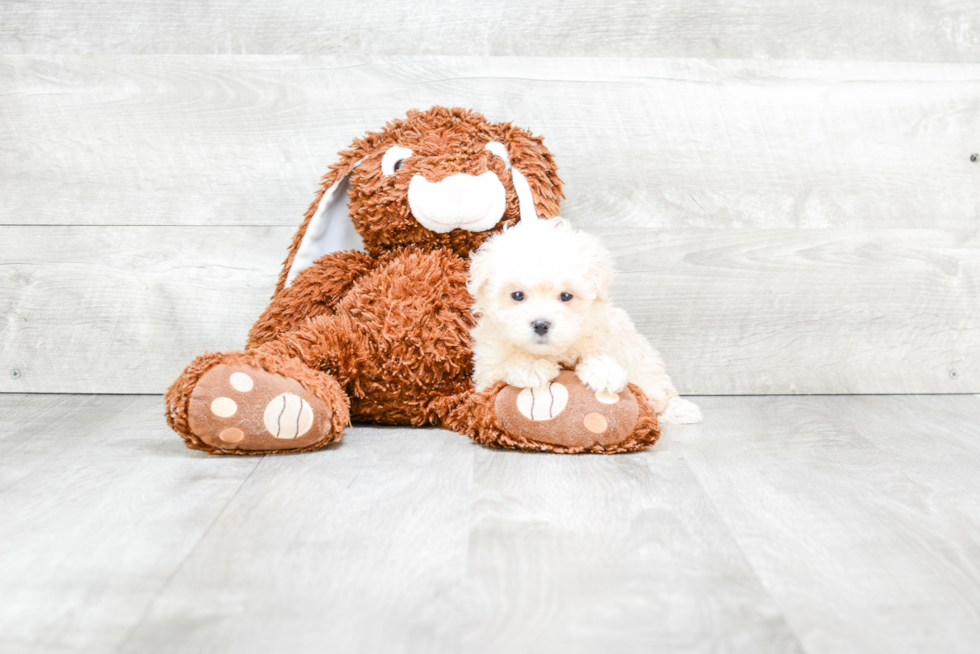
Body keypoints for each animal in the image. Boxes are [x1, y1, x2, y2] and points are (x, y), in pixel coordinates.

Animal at [468, 218, 704, 428]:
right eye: (517, 295)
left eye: (566, 296)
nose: (541, 324)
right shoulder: (486, 368)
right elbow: (503, 364)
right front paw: (532, 366)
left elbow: (601, 353)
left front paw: (605, 373)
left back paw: (679, 409)